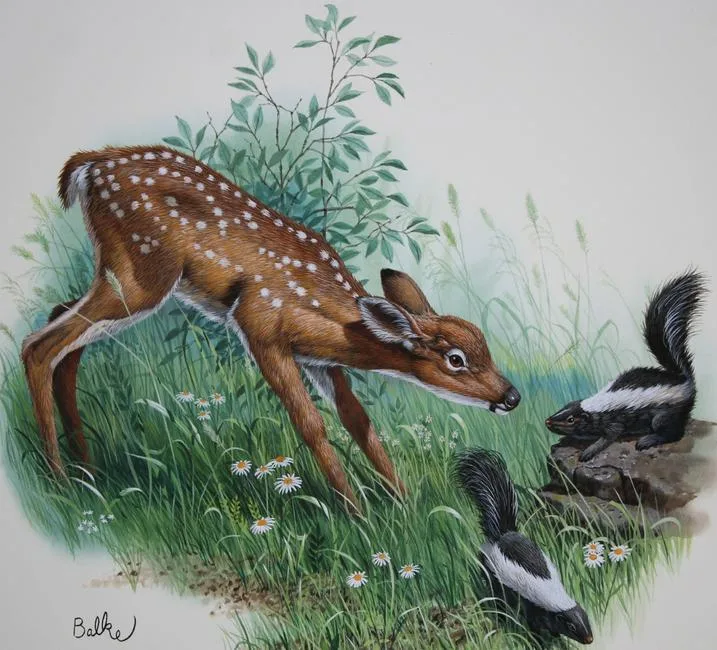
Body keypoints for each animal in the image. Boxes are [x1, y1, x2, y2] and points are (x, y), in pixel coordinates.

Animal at [21, 145, 521, 513]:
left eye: (485, 347)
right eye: (456, 359)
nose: (512, 396)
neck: (331, 317)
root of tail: (88, 165)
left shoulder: (317, 357)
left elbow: (358, 421)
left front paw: (403, 503)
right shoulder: (259, 325)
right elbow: (311, 424)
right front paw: (357, 513)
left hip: (123, 276)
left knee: (61, 324)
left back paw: (87, 469)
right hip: (142, 271)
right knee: (38, 345)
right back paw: (60, 481)